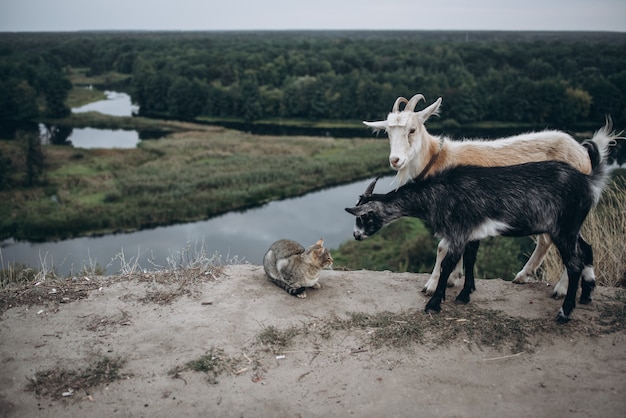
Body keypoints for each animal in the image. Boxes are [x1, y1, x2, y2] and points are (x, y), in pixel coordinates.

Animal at [344, 125, 612, 324]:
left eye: (364, 216)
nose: (356, 236)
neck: (439, 191)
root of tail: (588, 180)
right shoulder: (472, 232)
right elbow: (471, 260)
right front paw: (465, 294)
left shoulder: (458, 231)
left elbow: (448, 264)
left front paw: (434, 303)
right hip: (570, 226)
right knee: (585, 248)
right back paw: (587, 294)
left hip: (563, 227)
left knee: (574, 263)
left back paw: (564, 311)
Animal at [366, 94, 596, 298]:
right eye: (388, 133)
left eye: (412, 130)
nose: (395, 160)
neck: (440, 159)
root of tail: (584, 154)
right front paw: (452, 278)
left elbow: (441, 247)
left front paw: (432, 284)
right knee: (546, 240)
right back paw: (523, 276)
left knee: (575, 247)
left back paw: (562, 289)